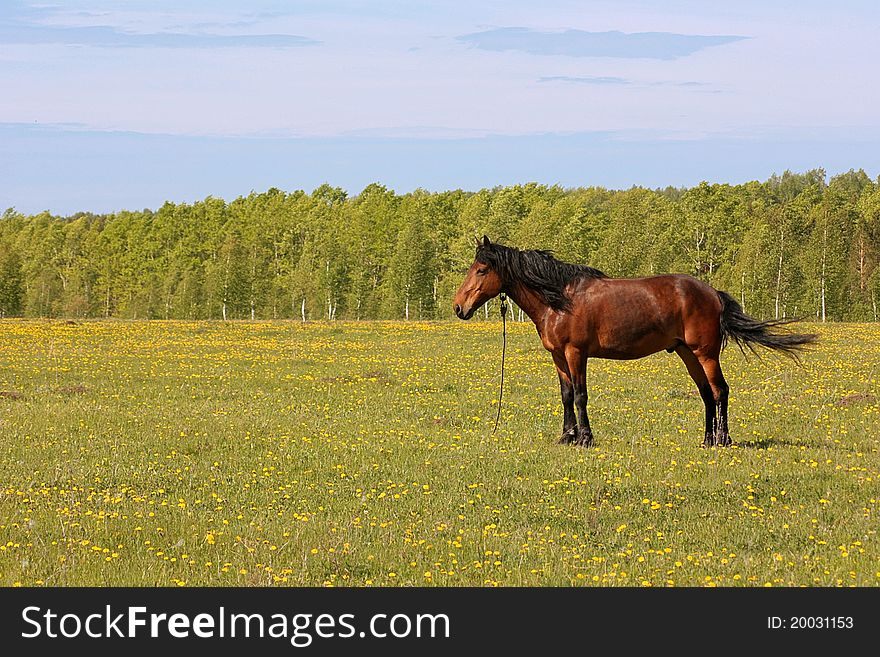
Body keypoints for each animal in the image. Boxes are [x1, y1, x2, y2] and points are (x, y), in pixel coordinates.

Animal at [454, 236, 820, 446]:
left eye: (482, 269)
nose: (459, 307)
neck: (560, 299)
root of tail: (712, 293)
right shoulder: (558, 356)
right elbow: (566, 396)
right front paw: (566, 436)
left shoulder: (576, 353)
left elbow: (580, 396)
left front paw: (585, 438)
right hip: (687, 353)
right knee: (706, 393)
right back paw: (706, 440)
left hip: (705, 353)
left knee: (720, 391)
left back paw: (724, 439)